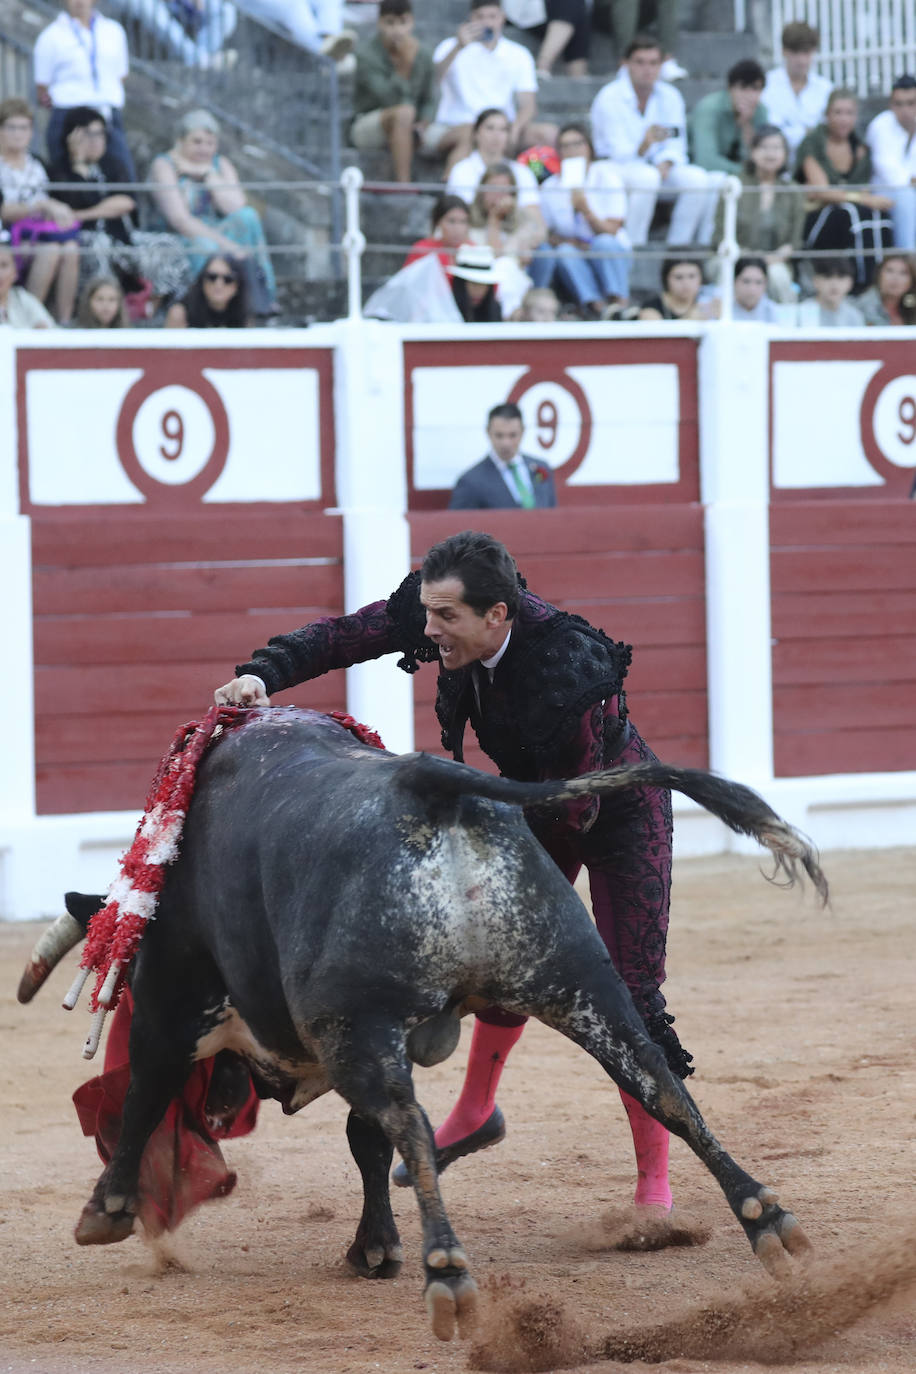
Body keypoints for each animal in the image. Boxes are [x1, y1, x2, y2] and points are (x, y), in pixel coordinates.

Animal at [23, 708, 823, 1341]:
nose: (222, 1108)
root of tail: (431, 783)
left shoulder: (177, 1003)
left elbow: (147, 1092)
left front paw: (107, 1210)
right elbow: (364, 1142)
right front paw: (374, 1248)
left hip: (361, 1028)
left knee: (409, 1119)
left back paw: (447, 1271)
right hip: (580, 981)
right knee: (661, 1084)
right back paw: (767, 1220)